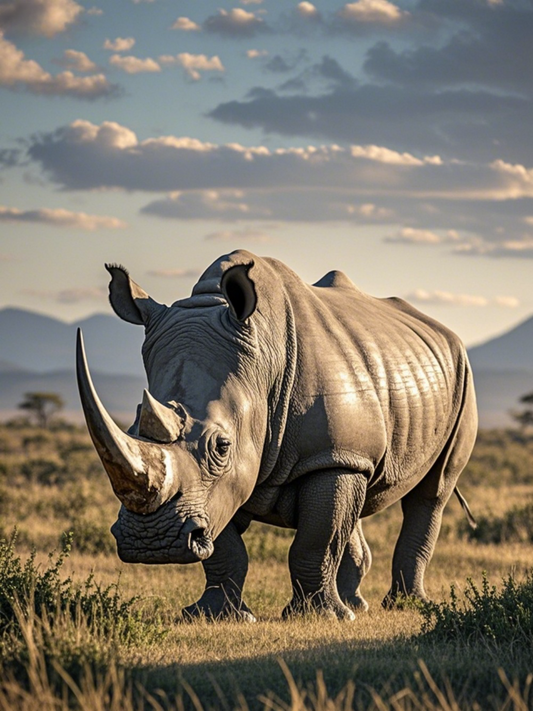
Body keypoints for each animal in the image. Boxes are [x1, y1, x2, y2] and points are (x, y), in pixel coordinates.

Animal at [77, 250, 477, 621]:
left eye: (221, 446)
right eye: (132, 428)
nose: (152, 542)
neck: (263, 362)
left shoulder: (326, 457)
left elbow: (317, 540)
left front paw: (319, 618)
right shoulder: (230, 481)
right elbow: (226, 547)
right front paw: (215, 615)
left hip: (462, 374)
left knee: (432, 491)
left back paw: (404, 606)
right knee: (358, 500)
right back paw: (355, 606)